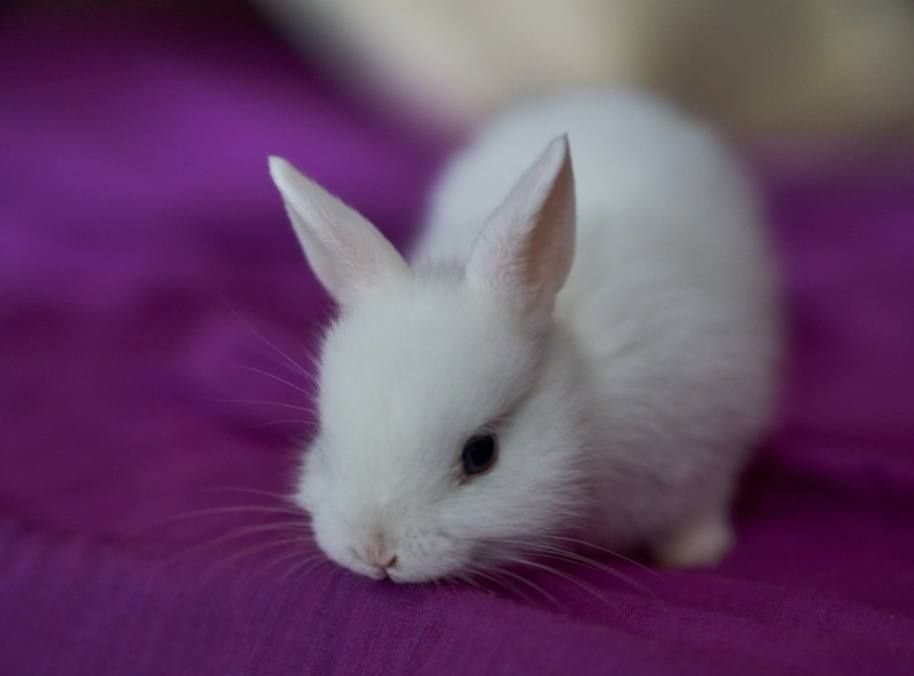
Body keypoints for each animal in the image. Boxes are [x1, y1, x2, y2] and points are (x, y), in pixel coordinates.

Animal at [267, 89, 780, 584]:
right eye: (327, 438)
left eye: (481, 454)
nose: (375, 552)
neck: (584, 405)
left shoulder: (707, 436)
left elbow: (702, 503)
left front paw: (695, 553)